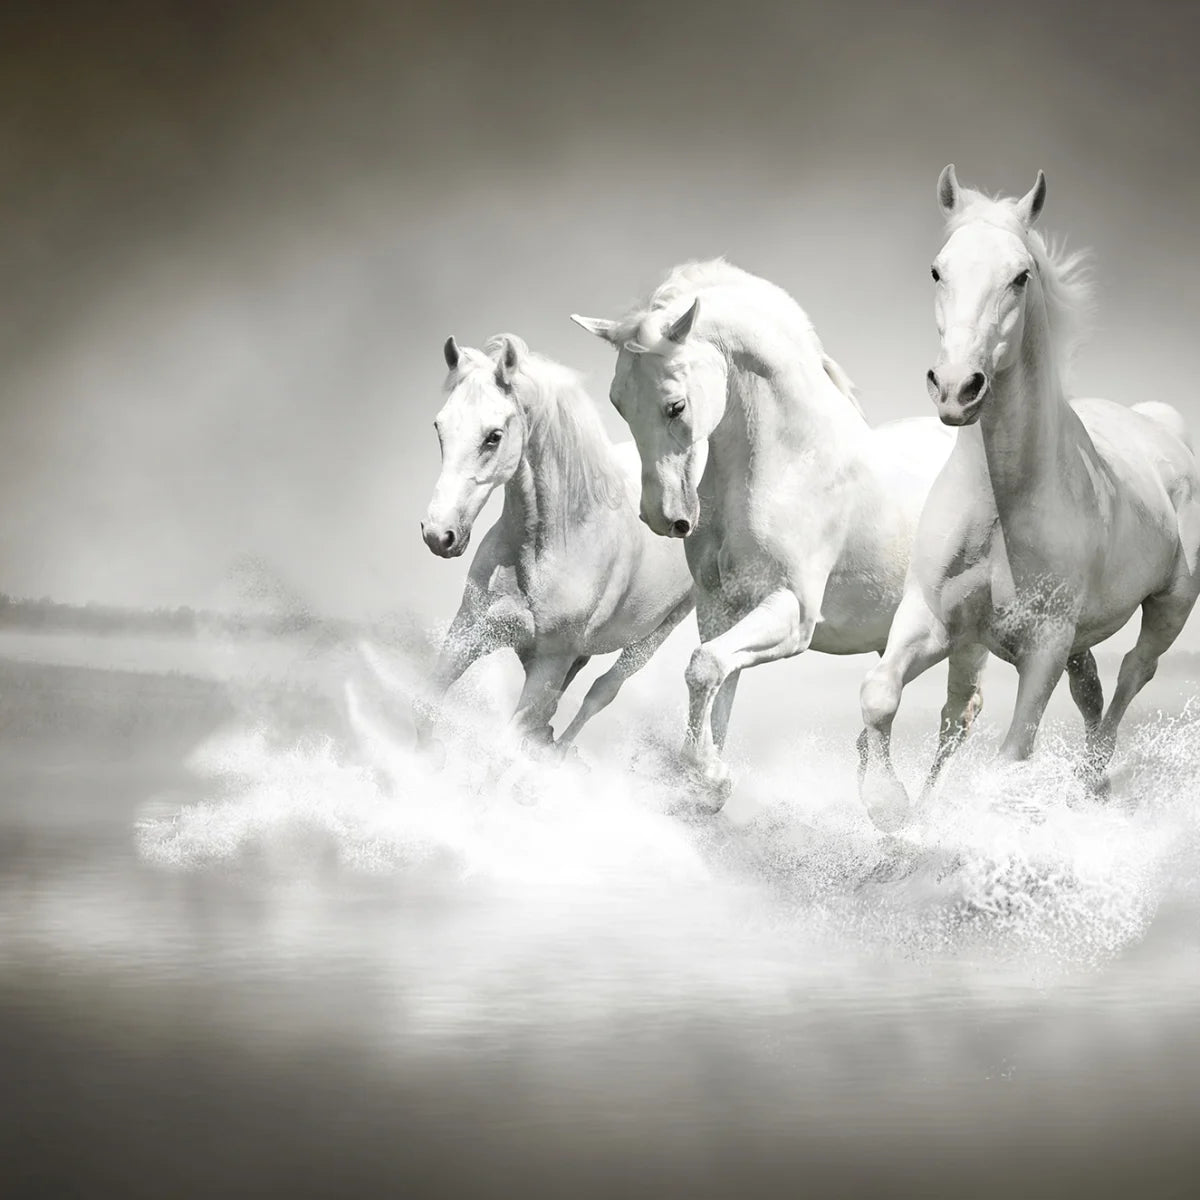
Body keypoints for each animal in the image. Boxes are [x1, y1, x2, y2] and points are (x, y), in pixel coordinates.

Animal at [416, 333, 695, 756]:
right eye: (439, 427)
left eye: (493, 436)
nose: (439, 535)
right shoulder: (469, 631)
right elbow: (426, 712)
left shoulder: (550, 663)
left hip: (655, 635)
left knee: (602, 691)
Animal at [571, 259, 982, 807]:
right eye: (618, 404)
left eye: (676, 406)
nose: (664, 517)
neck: (791, 463)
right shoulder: (721, 610)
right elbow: (717, 685)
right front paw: (707, 780)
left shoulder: (792, 612)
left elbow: (703, 668)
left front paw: (711, 775)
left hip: (969, 639)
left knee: (959, 716)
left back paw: (912, 814)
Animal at [858, 166, 1200, 830]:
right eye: (937, 270)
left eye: (1020, 276)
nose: (957, 388)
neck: (1002, 506)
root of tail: (1161, 428)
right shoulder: (933, 618)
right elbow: (881, 694)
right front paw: (891, 807)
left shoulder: (1045, 644)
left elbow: (1012, 754)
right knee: (1085, 690)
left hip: (1170, 606)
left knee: (1132, 674)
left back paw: (1091, 782)